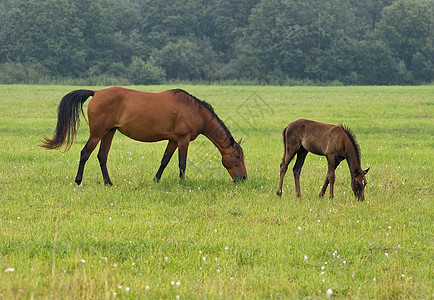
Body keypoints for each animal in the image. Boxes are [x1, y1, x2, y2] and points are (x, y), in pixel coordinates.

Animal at [40, 86, 248, 185]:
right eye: (237, 156)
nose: (243, 178)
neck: (194, 110)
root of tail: (96, 92)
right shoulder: (183, 139)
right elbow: (182, 163)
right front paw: (182, 183)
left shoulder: (173, 140)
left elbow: (164, 160)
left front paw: (156, 180)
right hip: (98, 133)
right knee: (85, 154)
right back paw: (78, 181)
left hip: (109, 132)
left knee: (102, 156)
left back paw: (108, 183)